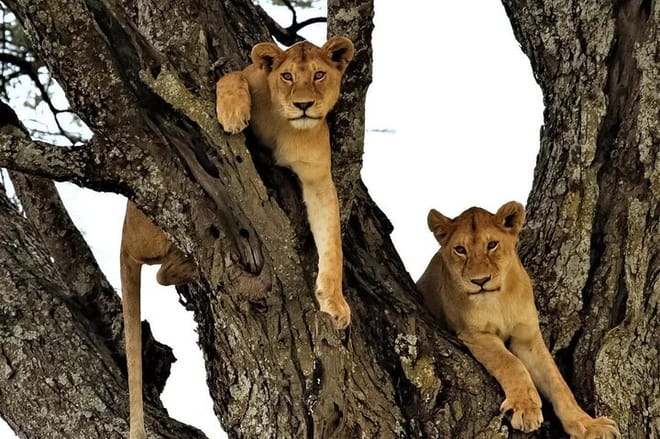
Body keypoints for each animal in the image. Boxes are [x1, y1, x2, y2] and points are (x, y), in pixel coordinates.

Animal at [120, 37, 354, 439]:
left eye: (320, 74)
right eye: (287, 76)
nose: (303, 104)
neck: (285, 125)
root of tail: (124, 233)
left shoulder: (317, 178)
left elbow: (332, 243)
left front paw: (334, 303)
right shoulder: (250, 75)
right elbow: (230, 75)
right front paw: (232, 113)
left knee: (163, 272)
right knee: (167, 263)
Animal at [416, 201, 620, 439]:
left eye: (492, 245)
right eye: (460, 249)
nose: (480, 281)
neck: (497, 300)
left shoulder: (527, 337)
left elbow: (558, 383)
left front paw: (588, 425)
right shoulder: (474, 333)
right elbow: (510, 362)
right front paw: (525, 409)